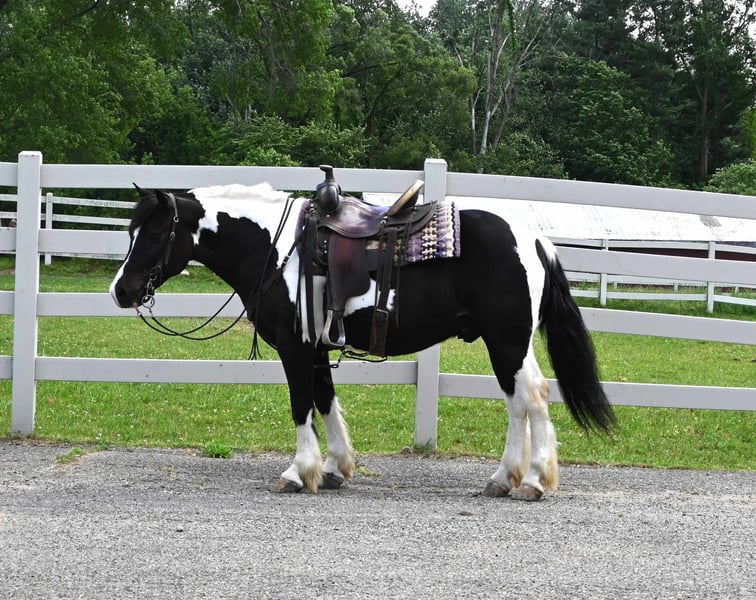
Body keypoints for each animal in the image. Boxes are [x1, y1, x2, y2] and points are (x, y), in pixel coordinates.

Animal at [109, 179, 615, 501]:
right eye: (132, 231)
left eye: (155, 232)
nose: (121, 290)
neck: (277, 250)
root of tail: (534, 240)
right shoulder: (316, 348)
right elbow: (325, 400)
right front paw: (334, 468)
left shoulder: (295, 349)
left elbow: (301, 405)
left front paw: (299, 472)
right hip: (506, 344)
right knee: (518, 402)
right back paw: (505, 478)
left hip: (506, 341)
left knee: (533, 397)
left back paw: (532, 482)